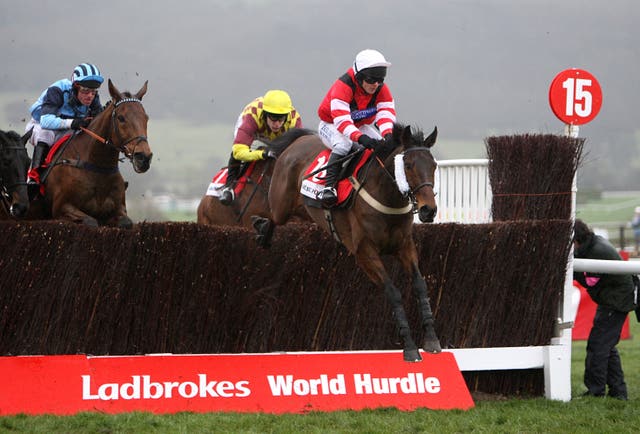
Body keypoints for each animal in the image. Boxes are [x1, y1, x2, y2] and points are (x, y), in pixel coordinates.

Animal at [28, 79, 152, 227]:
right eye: (121, 118)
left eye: (146, 118)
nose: (144, 158)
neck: (97, 166)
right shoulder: (61, 208)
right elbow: (90, 221)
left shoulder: (118, 209)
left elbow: (126, 222)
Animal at [252, 124, 442, 362]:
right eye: (407, 165)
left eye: (433, 165)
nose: (428, 210)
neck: (387, 198)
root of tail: (299, 140)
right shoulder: (365, 252)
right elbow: (393, 292)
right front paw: (409, 347)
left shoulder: (405, 246)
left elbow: (419, 285)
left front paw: (432, 339)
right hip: (281, 204)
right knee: (273, 216)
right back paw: (261, 230)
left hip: (303, 209)